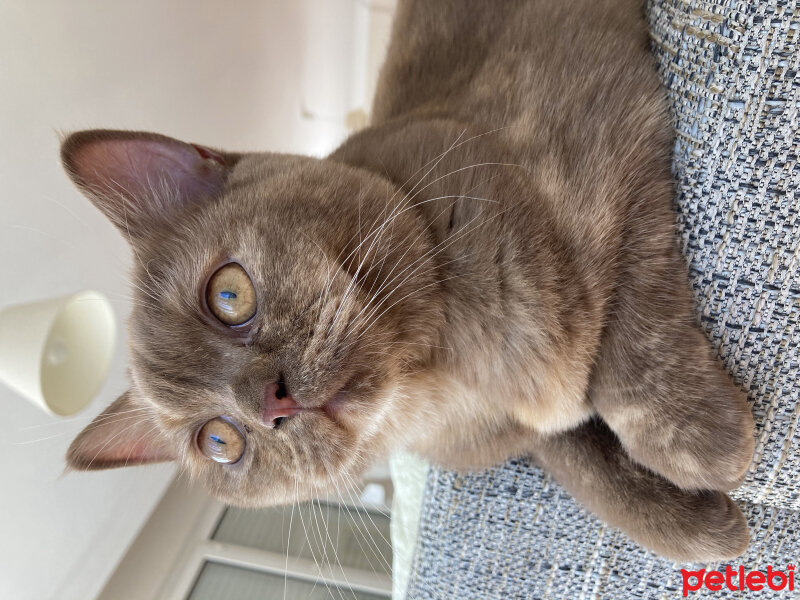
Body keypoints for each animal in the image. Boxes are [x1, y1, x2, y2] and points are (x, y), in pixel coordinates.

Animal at [64, 0, 756, 564]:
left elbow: (631, 347)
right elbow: (577, 457)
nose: (270, 404)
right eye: (219, 441)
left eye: (228, 295)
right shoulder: (519, 434)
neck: (446, 379)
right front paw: (704, 528)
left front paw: (706, 439)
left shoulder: (607, 145)